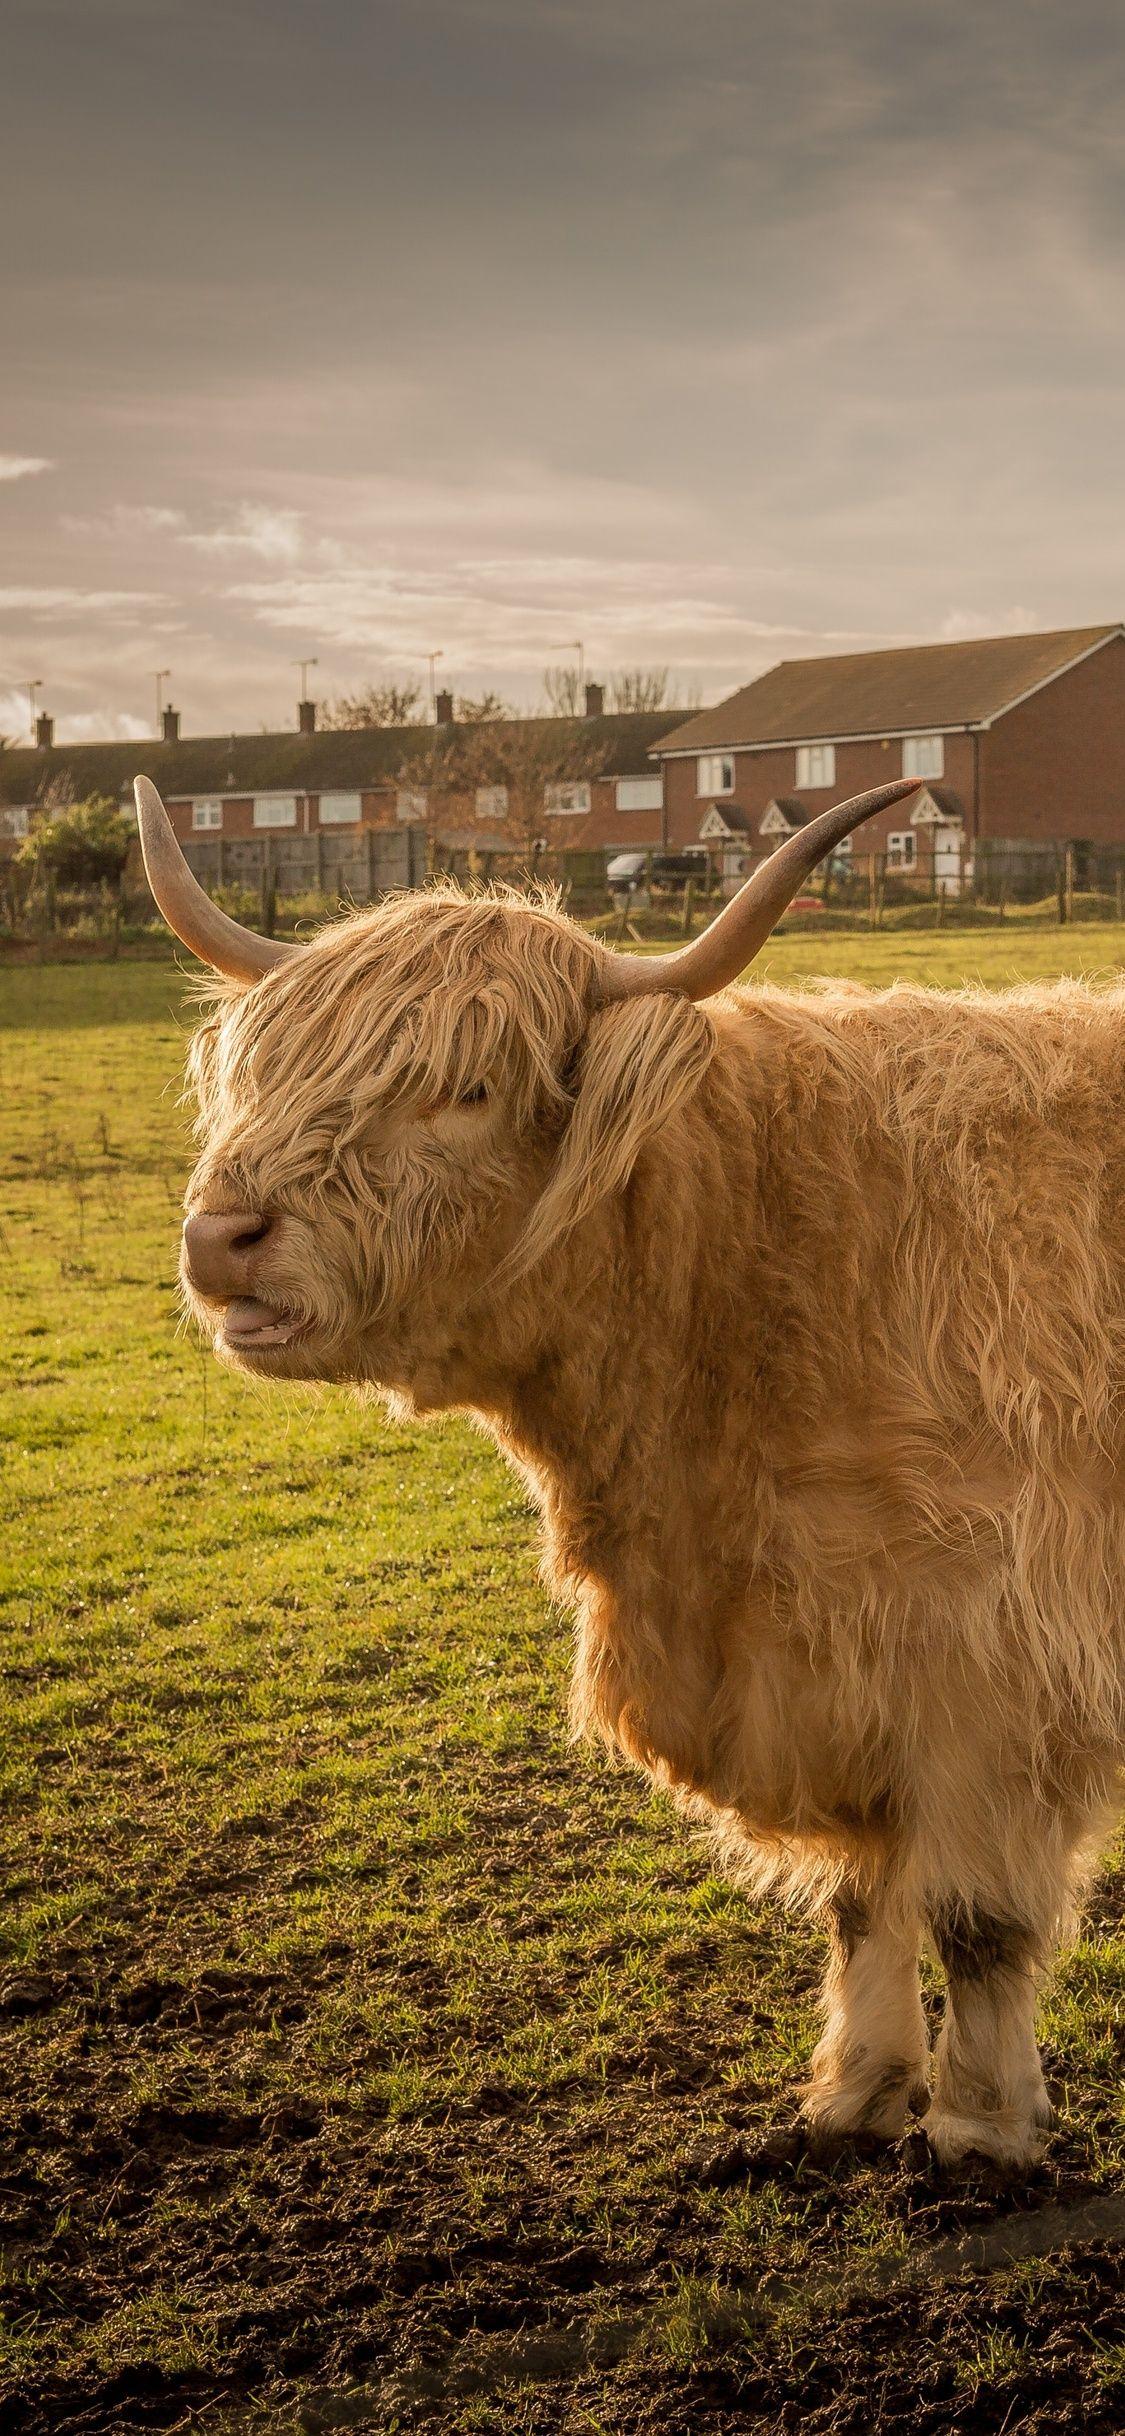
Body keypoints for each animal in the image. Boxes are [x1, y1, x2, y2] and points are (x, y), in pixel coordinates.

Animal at [134, 771, 1125, 2170]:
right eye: (267, 1072)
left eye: (466, 1089)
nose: (220, 1236)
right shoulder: (822, 1665)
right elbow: (861, 1897)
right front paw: (855, 2095)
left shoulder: (992, 1652)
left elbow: (979, 1919)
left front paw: (981, 2126)